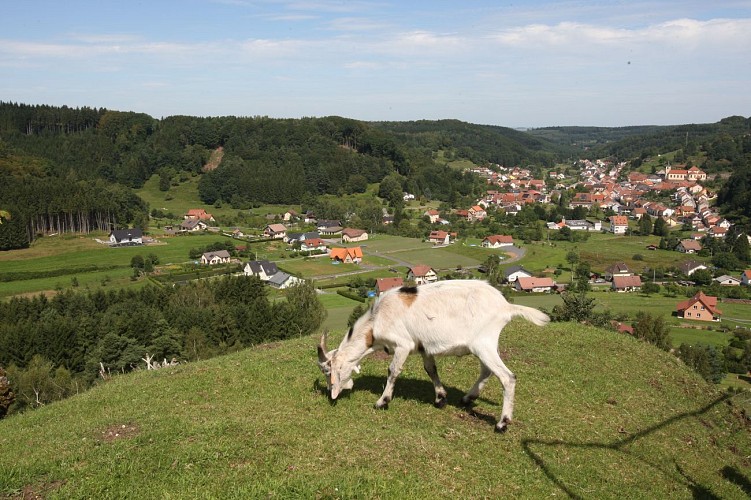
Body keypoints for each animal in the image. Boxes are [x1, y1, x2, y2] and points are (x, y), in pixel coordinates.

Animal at [318, 280, 552, 432]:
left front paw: (382, 402)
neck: (375, 322)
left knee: (507, 377)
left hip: (483, 343)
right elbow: (431, 370)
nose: (331, 392)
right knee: (487, 370)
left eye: (328, 371)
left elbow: (393, 371)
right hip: (485, 345)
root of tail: (505, 306)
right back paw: (468, 398)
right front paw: (440, 398)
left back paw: (502, 423)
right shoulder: (424, 347)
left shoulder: (403, 344)